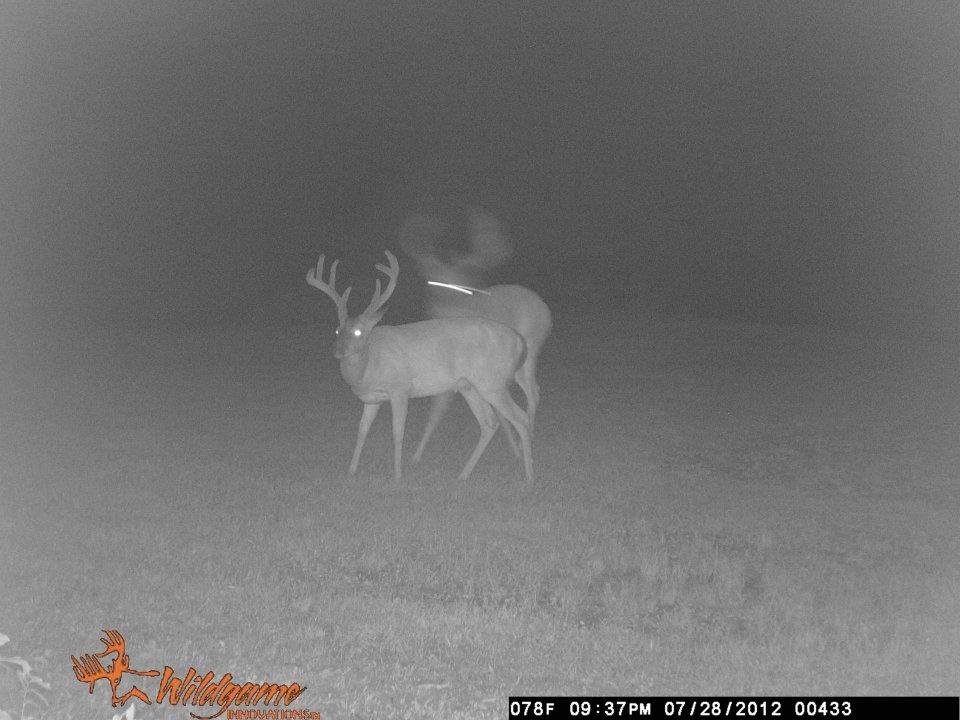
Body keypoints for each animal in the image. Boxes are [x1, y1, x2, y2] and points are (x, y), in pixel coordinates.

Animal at [306, 249, 534, 486]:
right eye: (337, 330)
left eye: (359, 332)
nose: (338, 351)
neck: (369, 365)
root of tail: (518, 340)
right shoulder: (372, 399)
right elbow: (362, 430)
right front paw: (351, 471)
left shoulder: (400, 389)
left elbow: (398, 432)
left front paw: (397, 475)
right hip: (470, 386)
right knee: (490, 423)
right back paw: (463, 475)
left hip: (492, 382)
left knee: (521, 418)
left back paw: (529, 476)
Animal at [399, 208, 552, 463]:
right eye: (432, 277)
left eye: (462, 277)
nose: (444, 300)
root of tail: (547, 312)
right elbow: (436, 411)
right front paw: (416, 455)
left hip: (529, 349)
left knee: (533, 391)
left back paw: (528, 436)